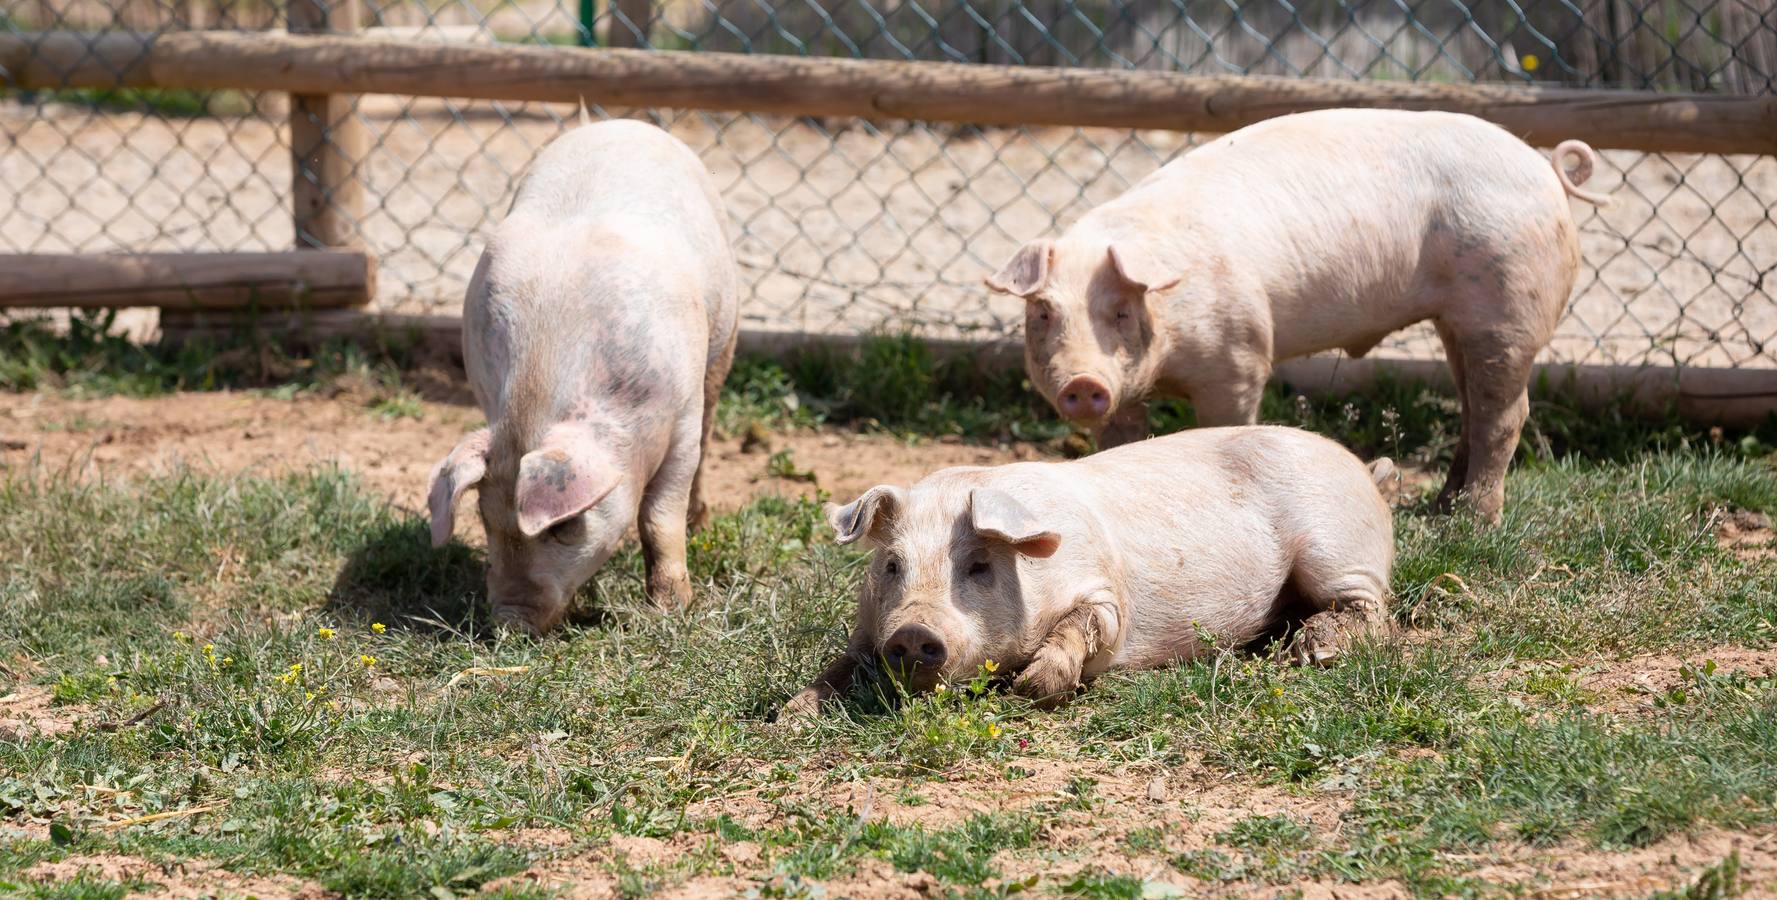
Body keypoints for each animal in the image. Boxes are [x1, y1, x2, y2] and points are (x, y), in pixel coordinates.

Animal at [426, 119, 739, 633]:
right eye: (484, 517)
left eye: (566, 525)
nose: (510, 620)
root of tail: (612, 122)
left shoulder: (682, 420)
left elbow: (659, 518)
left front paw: (669, 611)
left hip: (725, 335)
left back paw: (701, 523)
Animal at [785, 423, 1393, 718]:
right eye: (893, 564)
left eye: (979, 565)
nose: (913, 632)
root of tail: (1365, 468)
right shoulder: (868, 630)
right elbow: (841, 667)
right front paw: (793, 714)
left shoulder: (1106, 592)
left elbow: (1085, 626)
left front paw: (1028, 690)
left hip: (1338, 547)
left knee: (1374, 613)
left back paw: (1310, 653)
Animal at [988, 108, 1613, 522]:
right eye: (1043, 313)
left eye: (1119, 312)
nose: (1083, 382)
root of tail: (1546, 167)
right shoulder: (1127, 395)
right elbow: (1120, 444)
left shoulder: (1239, 355)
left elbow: (1225, 426)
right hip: (1457, 322)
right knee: (1471, 406)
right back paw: (1442, 505)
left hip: (1508, 306)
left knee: (1504, 414)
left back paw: (1470, 522)